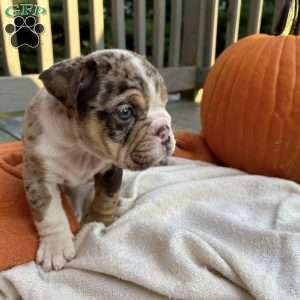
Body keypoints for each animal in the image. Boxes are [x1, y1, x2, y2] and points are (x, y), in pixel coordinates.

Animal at [22, 49, 176, 272]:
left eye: (164, 103)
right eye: (125, 111)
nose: (165, 130)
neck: (80, 148)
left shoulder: (111, 170)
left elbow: (106, 198)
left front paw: (96, 222)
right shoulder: (39, 177)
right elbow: (50, 211)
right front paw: (56, 246)